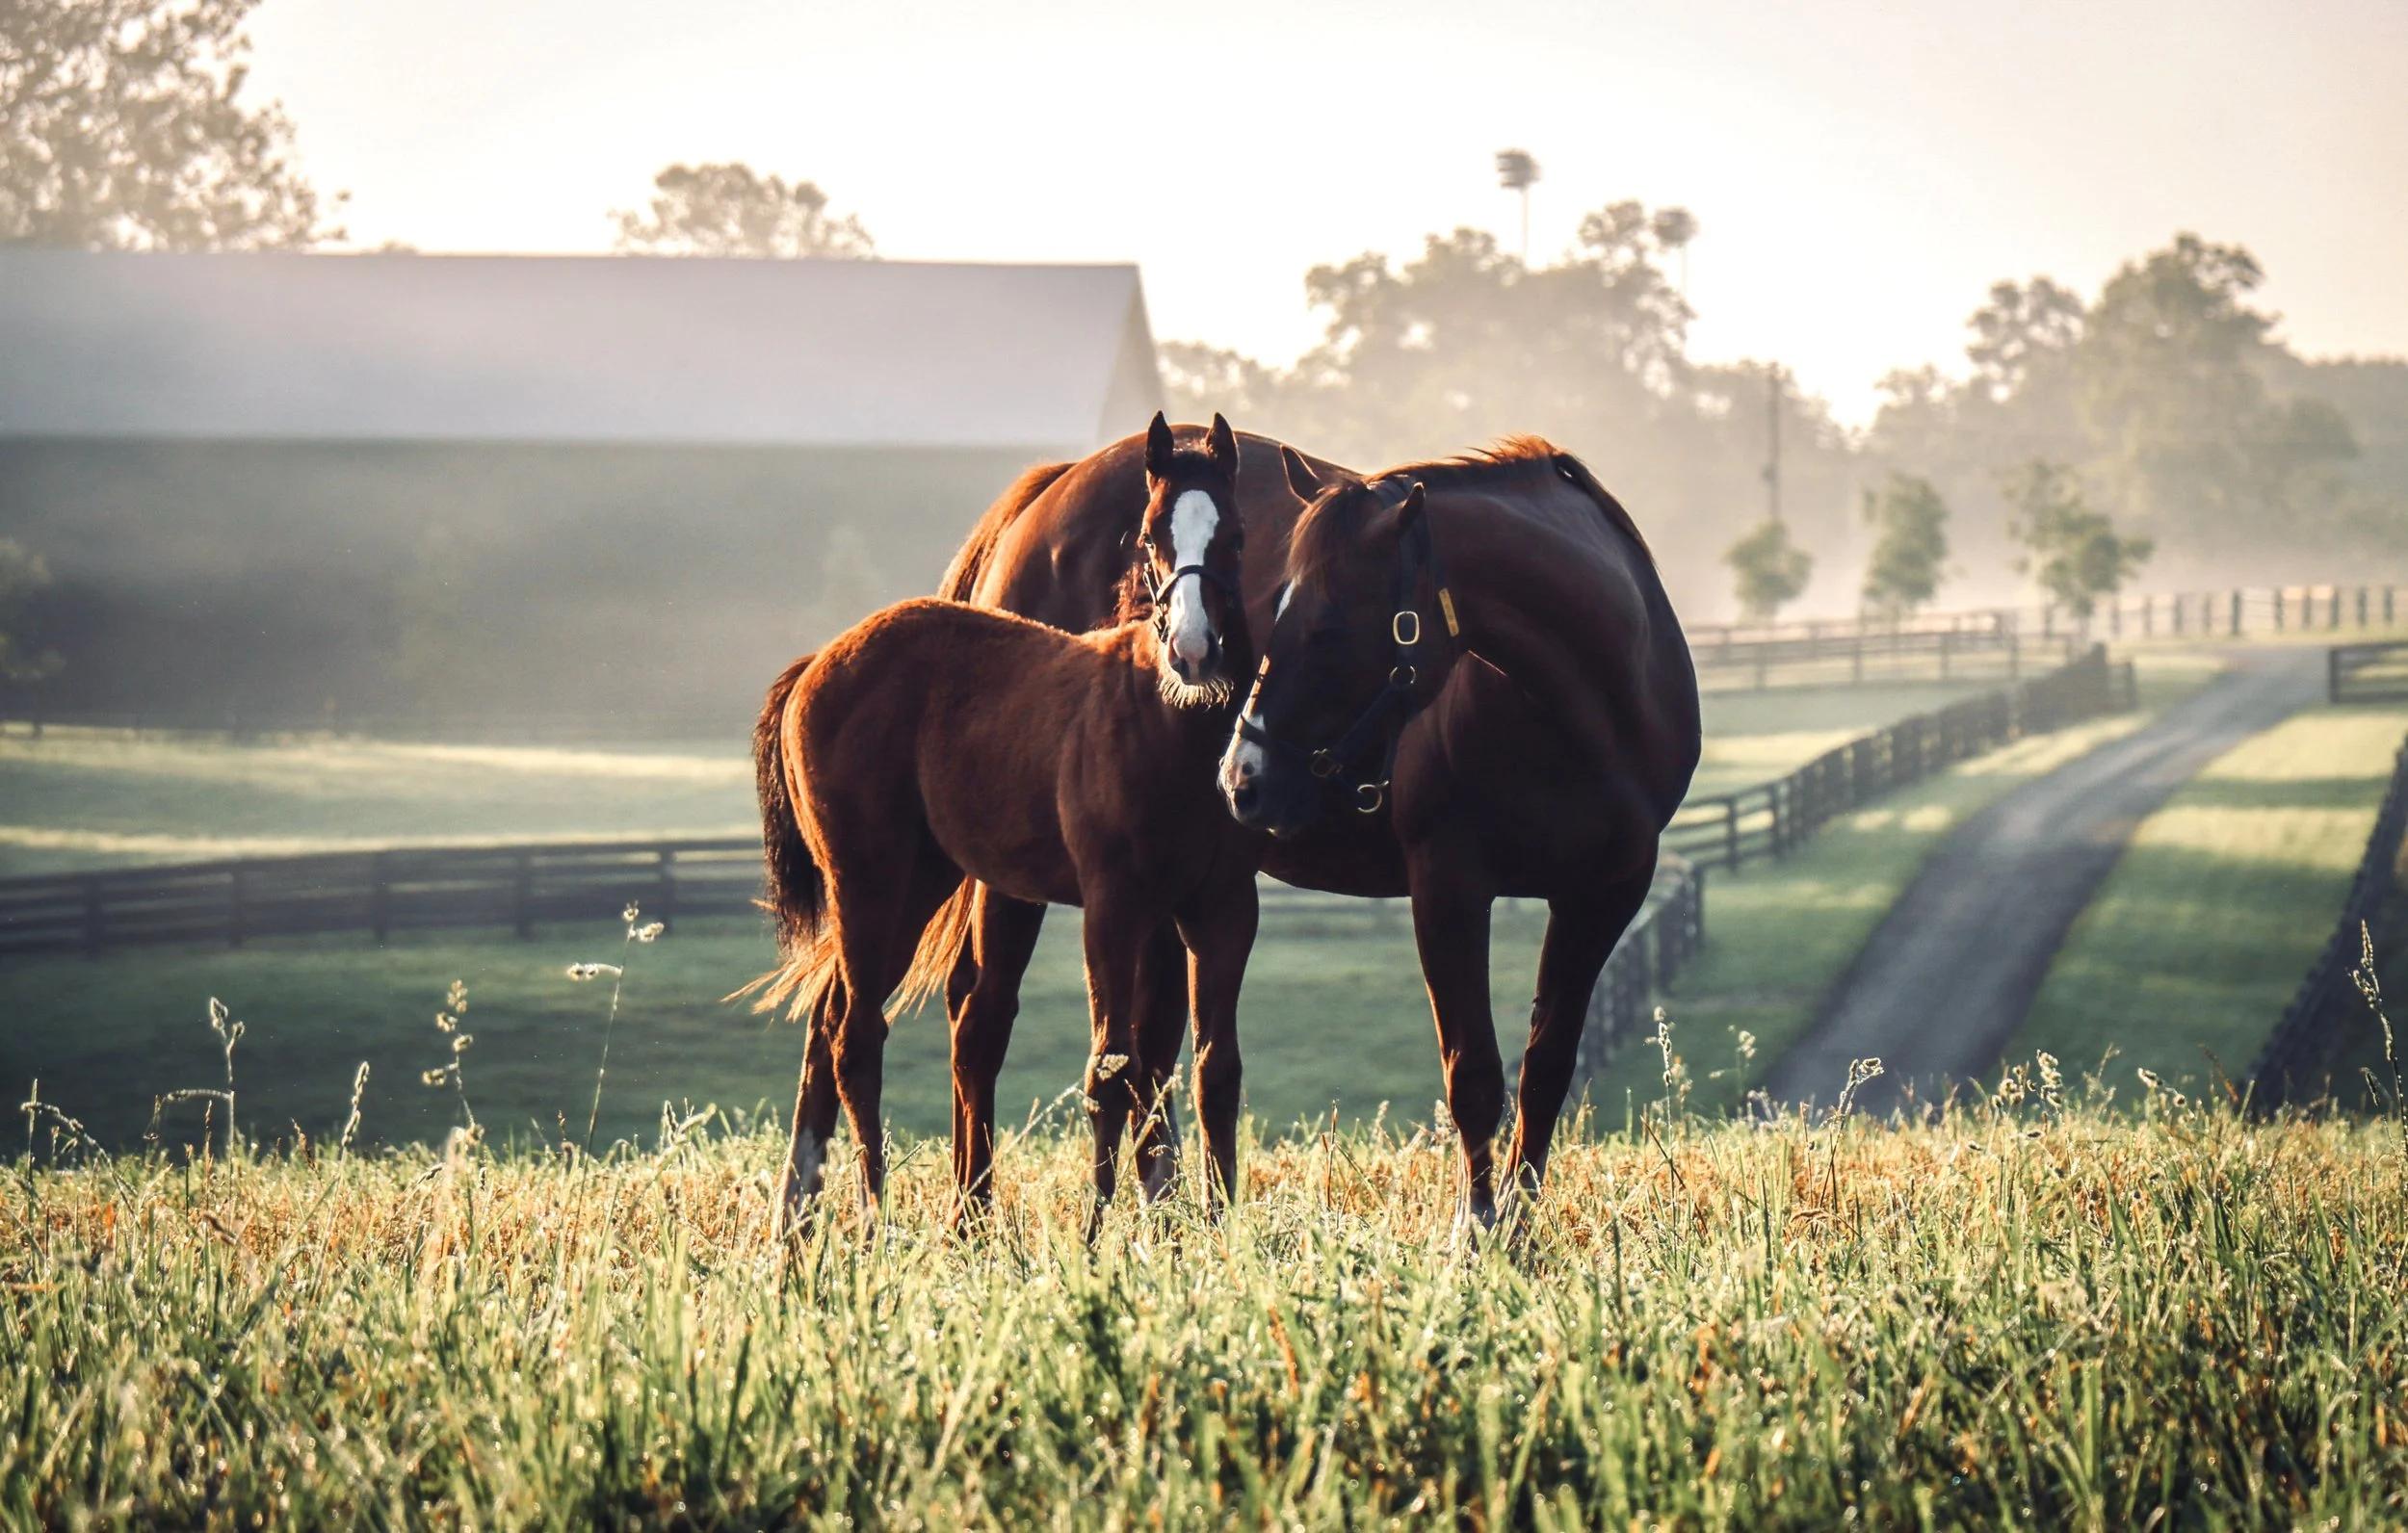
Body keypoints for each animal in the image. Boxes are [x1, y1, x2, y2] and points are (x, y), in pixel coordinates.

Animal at [748, 415, 1262, 1232]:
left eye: (1236, 536)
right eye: (1151, 536)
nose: (1193, 650)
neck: (1167, 728)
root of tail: (817, 662)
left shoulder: (1221, 908)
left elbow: (1214, 1068)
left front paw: (1217, 1233)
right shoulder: (1113, 906)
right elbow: (1111, 1067)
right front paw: (1096, 1237)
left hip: (921, 882)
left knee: (834, 1020)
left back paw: (805, 1226)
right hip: (866, 879)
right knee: (857, 1034)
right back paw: (875, 1220)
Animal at [935, 425, 1697, 1228]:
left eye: (1328, 630)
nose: (1242, 777)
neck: (1587, 707)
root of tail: (1041, 499)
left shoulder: (1603, 896)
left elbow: (1545, 1072)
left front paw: (1517, 1230)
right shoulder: (1449, 887)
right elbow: (1475, 1075)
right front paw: (1476, 1230)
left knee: (1148, 1045)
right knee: (982, 1016)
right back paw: (973, 1218)